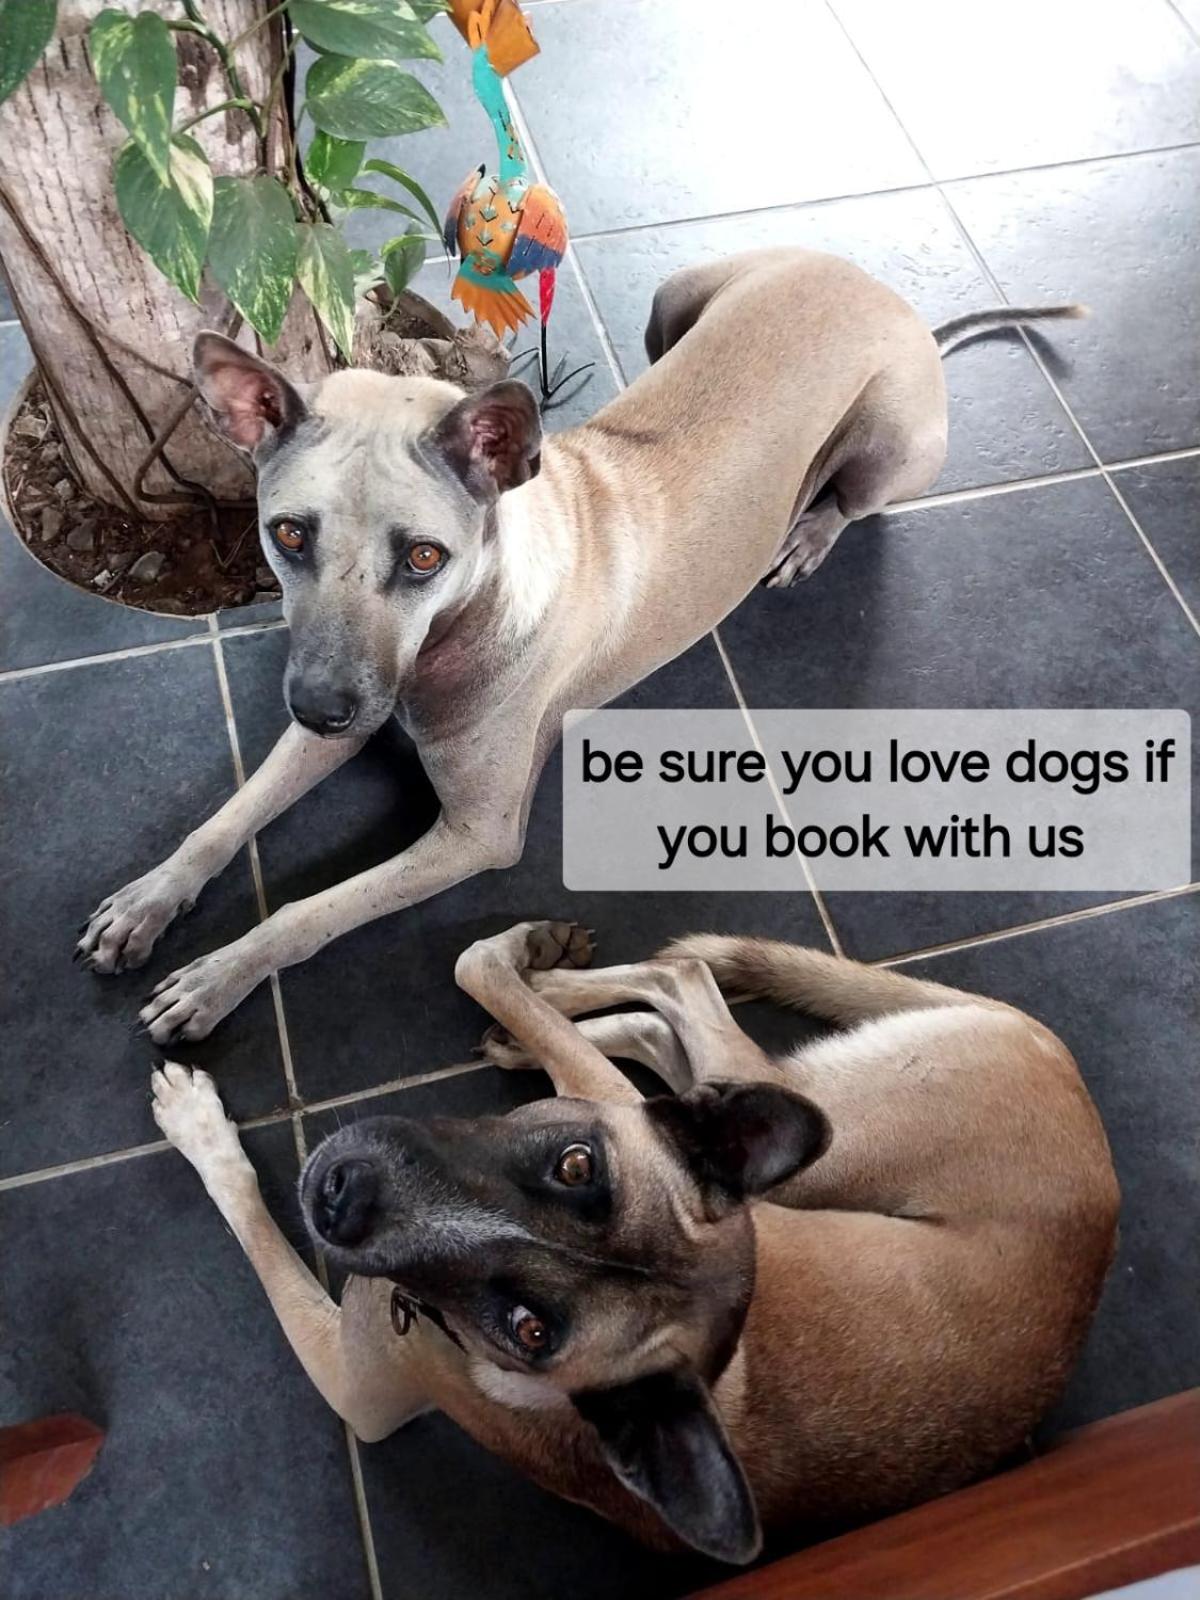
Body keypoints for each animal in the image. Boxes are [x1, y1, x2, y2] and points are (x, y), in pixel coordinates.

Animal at [77, 249, 1084, 1042]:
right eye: (288, 535)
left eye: (424, 556)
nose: (322, 708)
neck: (463, 618)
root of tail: (884, 291)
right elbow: (229, 816)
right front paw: (150, 899)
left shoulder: (477, 834)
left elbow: (309, 908)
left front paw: (221, 974)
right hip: (680, 298)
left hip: (889, 445)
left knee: (850, 498)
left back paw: (807, 531)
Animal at [151, 920, 1118, 1562]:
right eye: (576, 1164)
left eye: (531, 1329)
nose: (340, 1195)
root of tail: (1058, 1064)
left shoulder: (360, 1390)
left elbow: (257, 1226)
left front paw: (202, 1132)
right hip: (756, 1135)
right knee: (672, 1001)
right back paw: (552, 1002)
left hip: (809, 1129)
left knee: (669, 988)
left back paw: (543, 996)